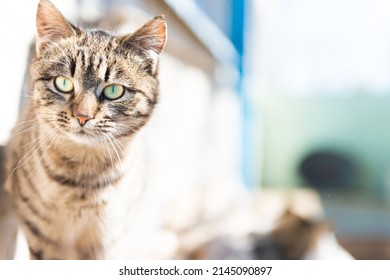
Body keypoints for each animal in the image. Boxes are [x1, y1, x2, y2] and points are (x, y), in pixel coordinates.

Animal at [4, 0, 166, 260]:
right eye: (63, 83)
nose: (82, 116)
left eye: (114, 91)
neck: (81, 179)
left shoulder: (107, 240)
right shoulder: (40, 236)